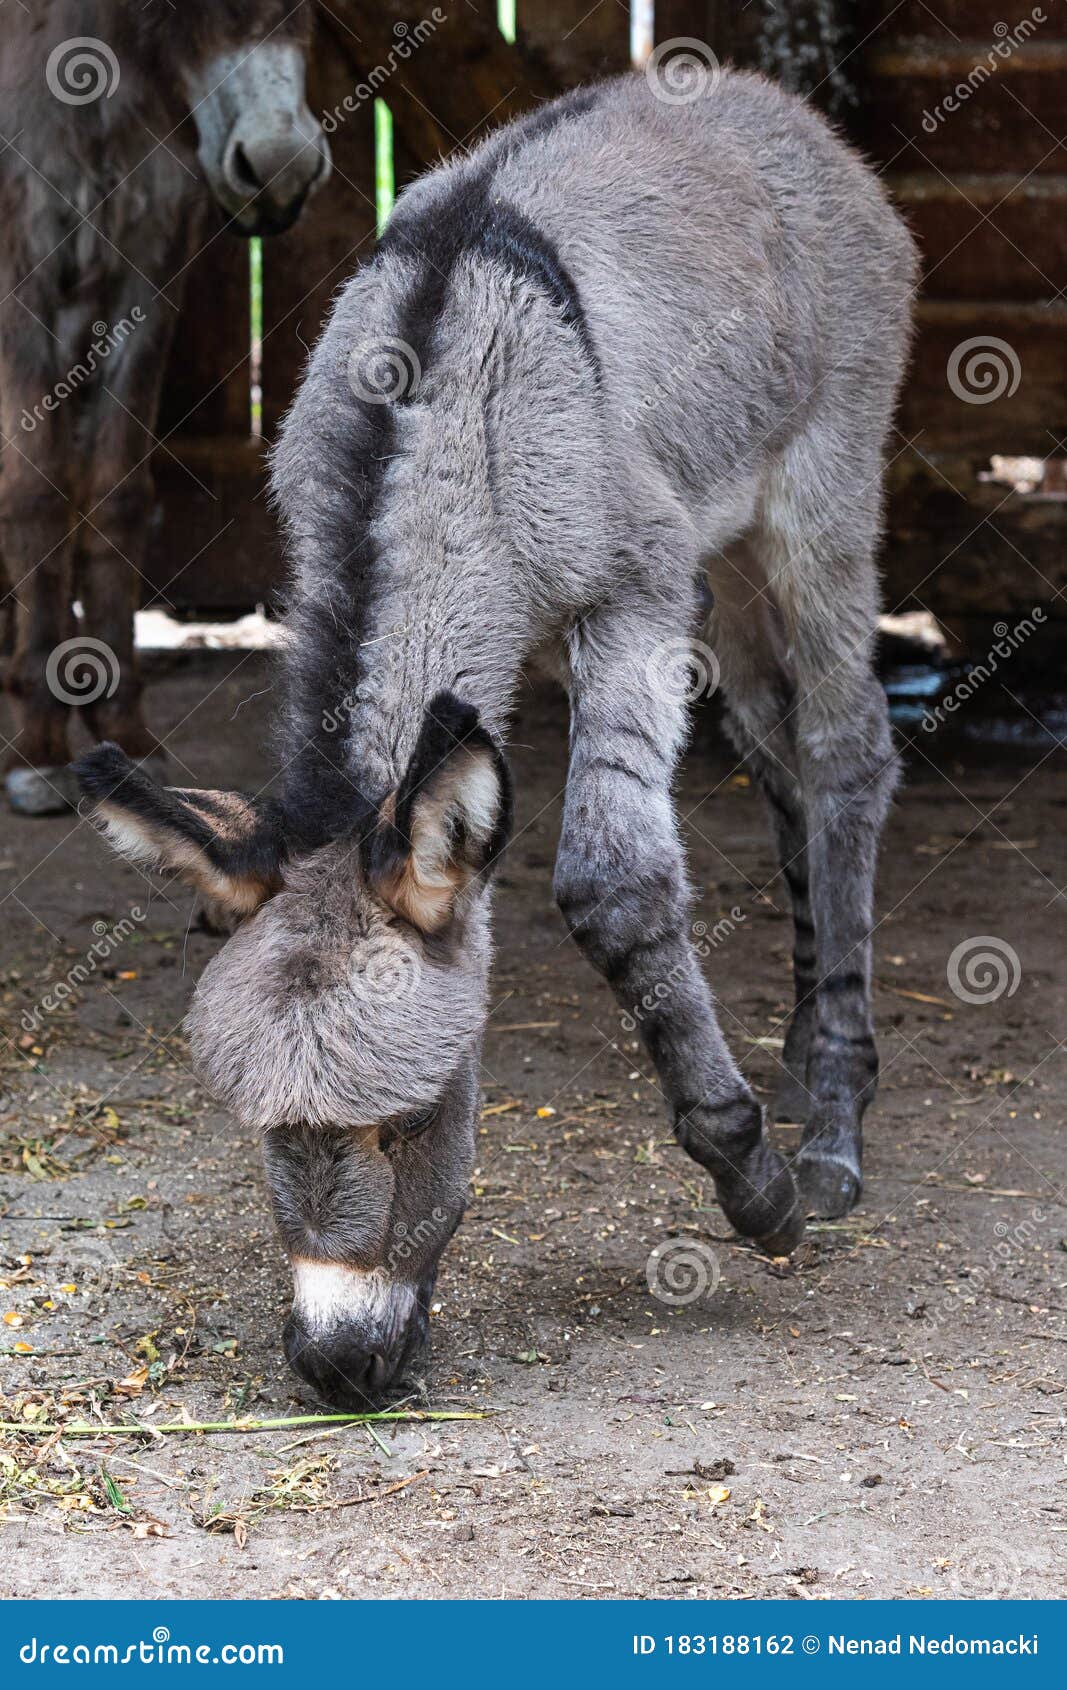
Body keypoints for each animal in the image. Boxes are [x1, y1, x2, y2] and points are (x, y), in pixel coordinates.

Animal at [77, 72, 919, 1406]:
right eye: (265, 1128)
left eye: (414, 1116)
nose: (339, 1368)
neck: (432, 431)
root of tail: (752, 96)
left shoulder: (633, 590)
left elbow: (610, 881)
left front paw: (754, 1184)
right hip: (727, 546)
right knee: (777, 752)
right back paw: (799, 1060)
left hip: (819, 486)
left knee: (844, 751)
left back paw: (830, 1124)